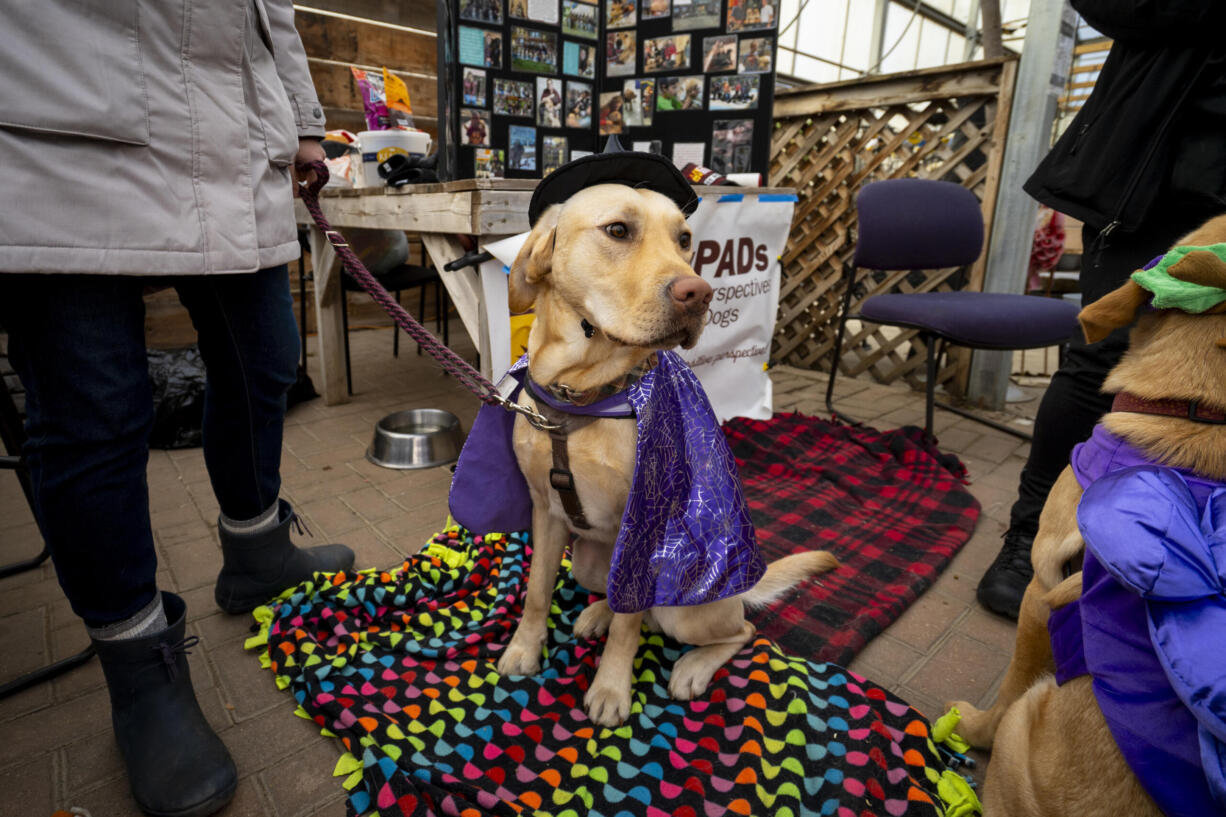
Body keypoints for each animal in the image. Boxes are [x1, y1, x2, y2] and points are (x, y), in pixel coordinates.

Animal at [492, 181, 838, 721]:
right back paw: (596, 612)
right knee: (628, 605)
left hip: (687, 608)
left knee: (736, 629)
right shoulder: (544, 511)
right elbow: (536, 593)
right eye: (617, 229)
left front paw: (612, 689)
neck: (583, 393)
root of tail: (741, 588)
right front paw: (524, 649)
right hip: (591, 562)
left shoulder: (643, 529)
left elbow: (628, 629)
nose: (699, 294)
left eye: (685, 239)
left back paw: (691, 667)